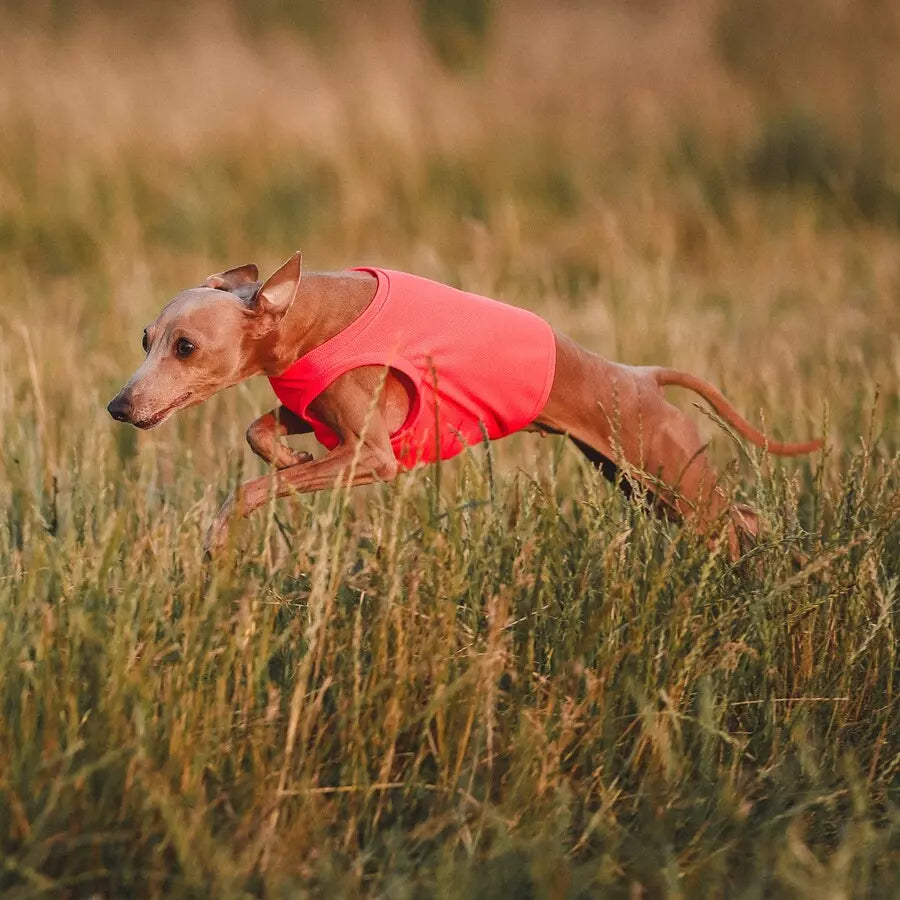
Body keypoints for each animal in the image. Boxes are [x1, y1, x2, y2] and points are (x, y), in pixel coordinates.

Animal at [107, 251, 824, 556]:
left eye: (186, 346)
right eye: (145, 338)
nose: (118, 405)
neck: (310, 312)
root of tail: (642, 376)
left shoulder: (372, 457)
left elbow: (251, 489)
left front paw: (219, 538)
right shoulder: (322, 416)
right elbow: (261, 432)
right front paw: (286, 454)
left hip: (673, 479)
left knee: (742, 521)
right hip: (639, 483)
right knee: (742, 519)